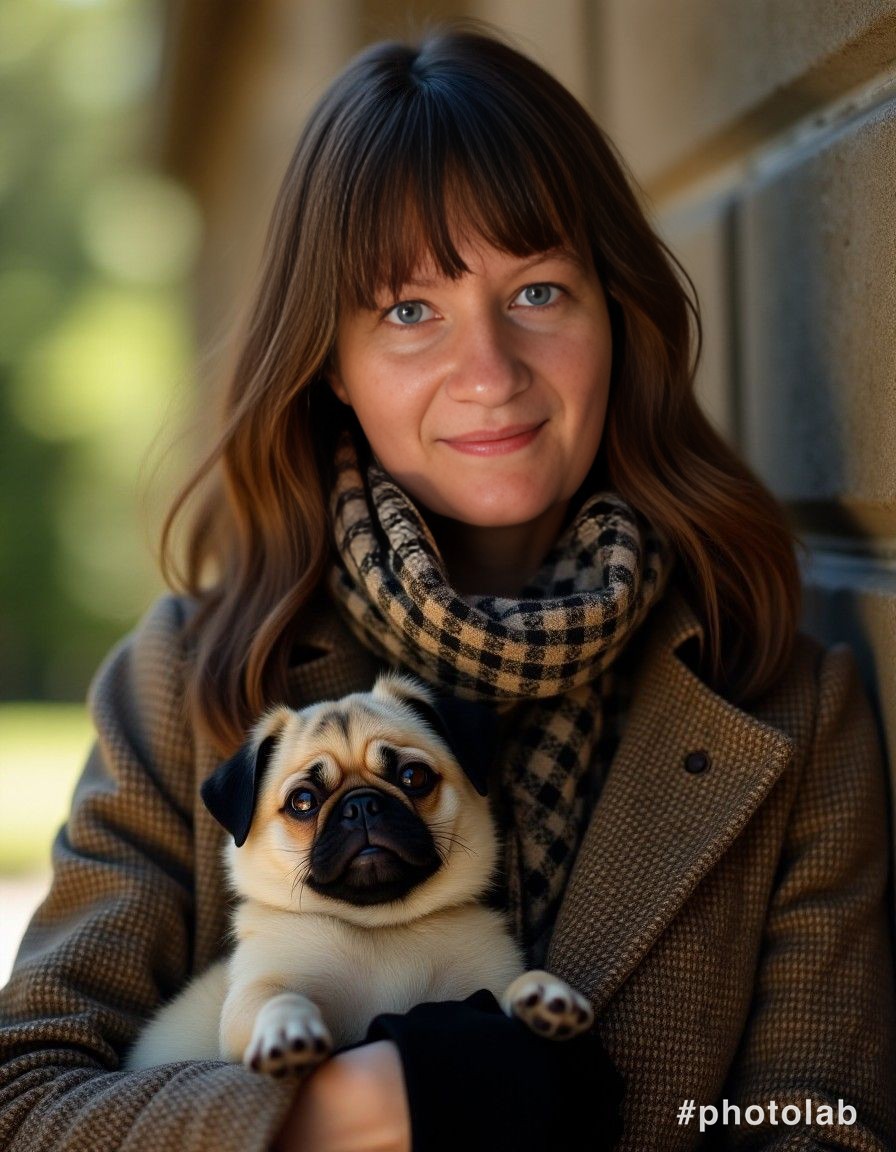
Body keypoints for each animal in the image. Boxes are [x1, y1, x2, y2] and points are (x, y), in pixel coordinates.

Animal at [125, 672, 594, 1076]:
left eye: (414, 776)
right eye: (302, 802)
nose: (361, 805)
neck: (381, 927)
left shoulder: (486, 979)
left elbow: (510, 987)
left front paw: (544, 995)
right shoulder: (253, 994)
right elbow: (276, 999)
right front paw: (287, 1030)